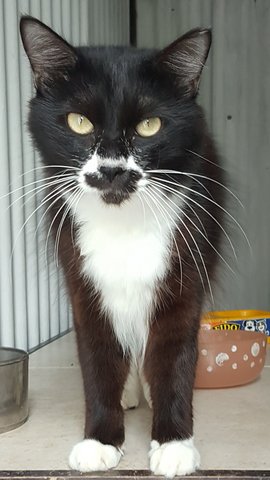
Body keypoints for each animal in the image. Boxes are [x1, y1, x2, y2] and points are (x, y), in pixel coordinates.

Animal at [20, 16, 225, 478]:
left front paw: (174, 443)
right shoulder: (83, 279)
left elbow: (173, 355)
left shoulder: (183, 273)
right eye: (79, 122)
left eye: (149, 126)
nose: (112, 169)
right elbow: (98, 359)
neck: (123, 225)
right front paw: (100, 439)